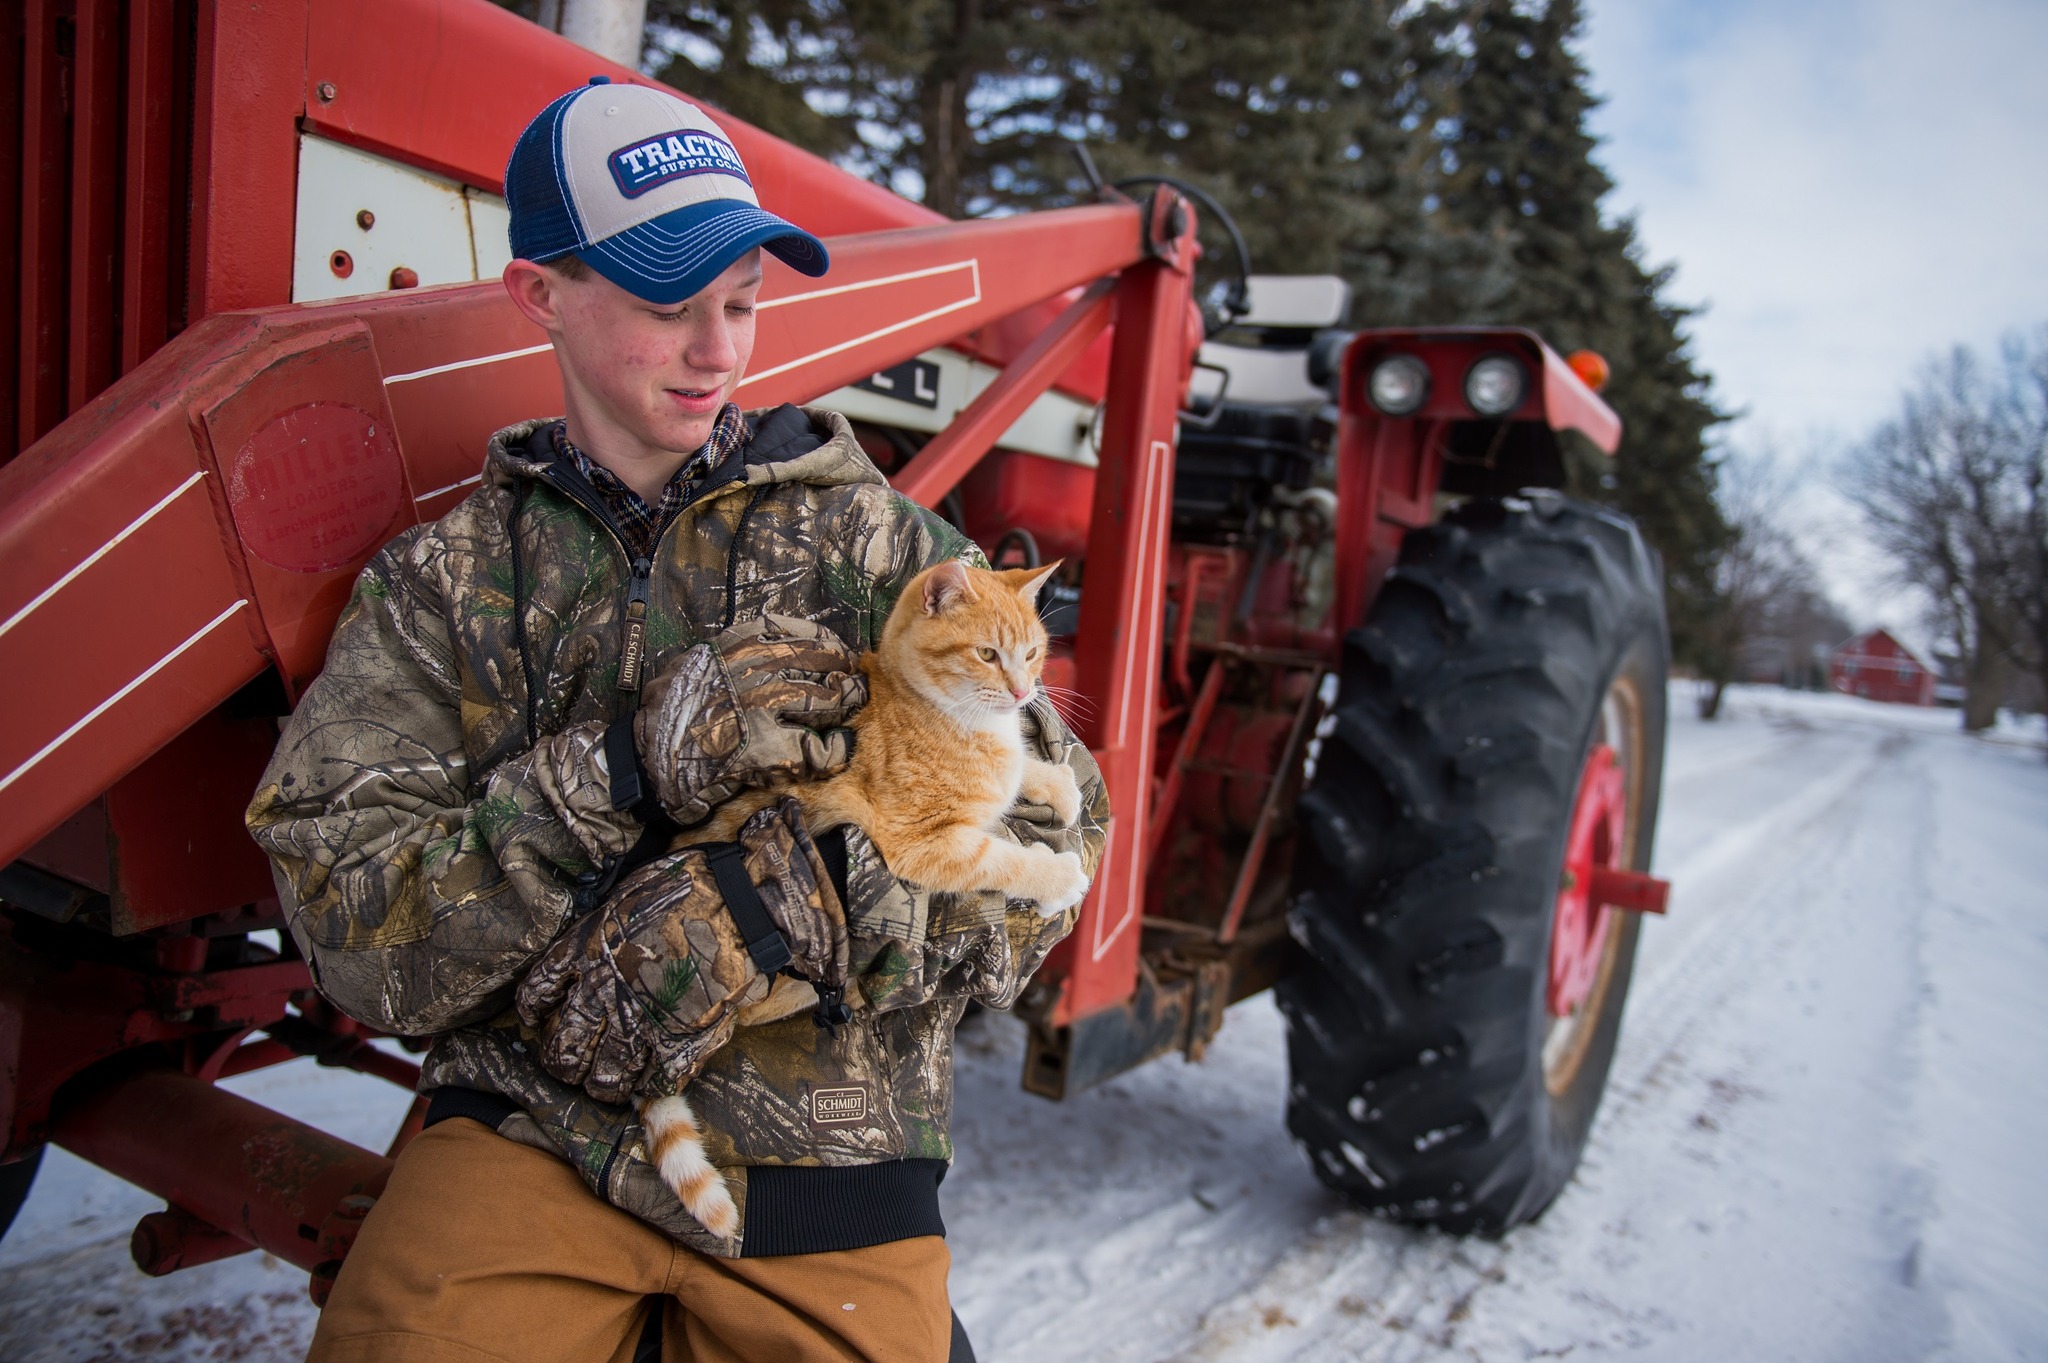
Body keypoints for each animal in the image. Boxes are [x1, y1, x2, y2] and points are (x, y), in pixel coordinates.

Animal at [640, 557, 1092, 1238]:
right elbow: (1006, 858)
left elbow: (1021, 776)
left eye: (1033, 653)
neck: (948, 714)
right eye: (987, 654)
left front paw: (1054, 783)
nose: (1021, 693)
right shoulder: (920, 846)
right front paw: (1058, 877)